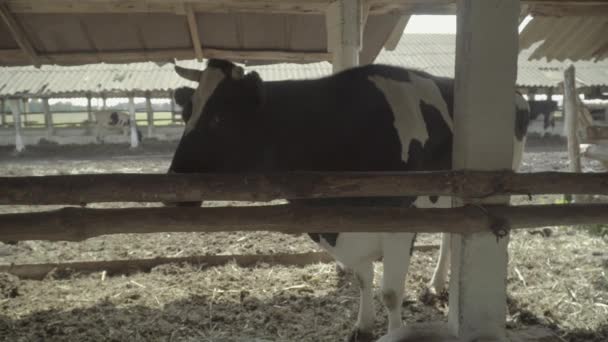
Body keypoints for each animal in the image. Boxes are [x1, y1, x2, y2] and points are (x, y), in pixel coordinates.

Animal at [166, 59, 528, 342]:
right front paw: (363, 326)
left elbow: (391, 293)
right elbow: (363, 279)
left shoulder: (399, 223)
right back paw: (436, 285)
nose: (172, 195)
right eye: (185, 115)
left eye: (218, 119)